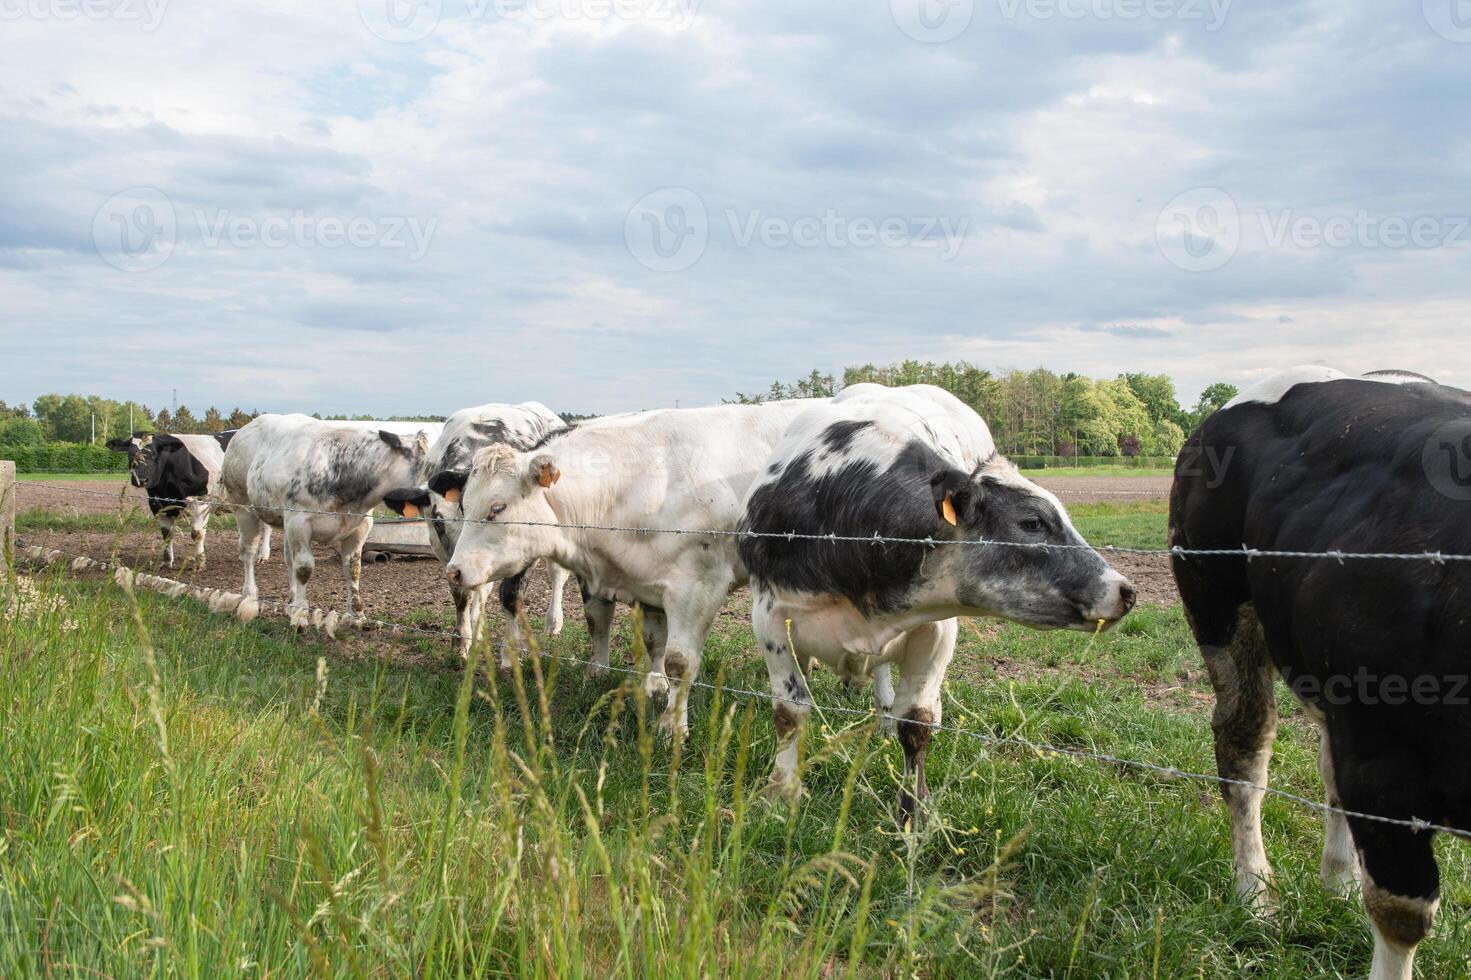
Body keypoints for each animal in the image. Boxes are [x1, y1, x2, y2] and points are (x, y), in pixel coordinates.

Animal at [217, 414, 429, 626]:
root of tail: (246, 428)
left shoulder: (361, 525)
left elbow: (353, 568)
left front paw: (357, 615)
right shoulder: (299, 522)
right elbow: (304, 568)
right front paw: (300, 617)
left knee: (288, 558)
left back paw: (291, 602)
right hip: (243, 507)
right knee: (249, 553)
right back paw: (250, 599)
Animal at [379, 400, 579, 659]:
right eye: (438, 521)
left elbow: (511, 595)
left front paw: (507, 654)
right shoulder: (444, 552)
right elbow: (462, 595)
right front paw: (462, 643)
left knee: (557, 574)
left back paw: (553, 624)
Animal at [435, 400, 823, 732]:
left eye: (497, 508)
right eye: (464, 504)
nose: (454, 571)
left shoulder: (698, 587)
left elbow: (680, 661)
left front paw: (672, 727)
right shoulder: (643, 582)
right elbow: (643, 638)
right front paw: (651, 685)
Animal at [735, 382, 1135, 818]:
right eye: (1032, 522)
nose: (1125, 590)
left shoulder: (936, 629)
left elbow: (916, 723)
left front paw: (914, 811)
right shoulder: (770, 618)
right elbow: (790, 712)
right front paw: (780, 793)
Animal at [1170, 364, 1471, 977]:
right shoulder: (1385, 760)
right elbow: (1401, 912)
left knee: (1329, 772)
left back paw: (1338, 882)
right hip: (1218, 600)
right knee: (1244, 747)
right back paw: (1255, 893)